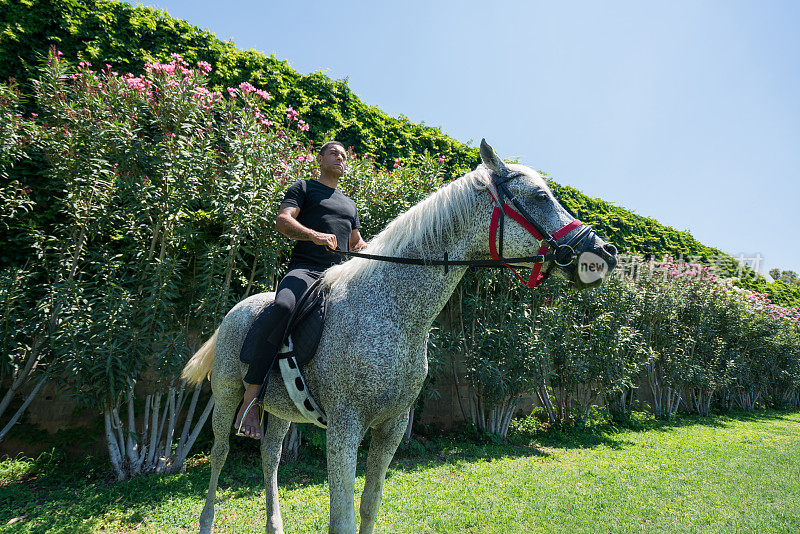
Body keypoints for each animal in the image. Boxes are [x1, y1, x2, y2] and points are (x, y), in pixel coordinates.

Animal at [181, 140, 620, 532]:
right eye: (540, 196)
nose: (605, 252)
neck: (390, 309)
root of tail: (235, 312)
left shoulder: (390, 427)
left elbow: (369, 507)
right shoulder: (344, 428)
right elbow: (342, 520)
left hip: (280, 411)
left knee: (269, 456)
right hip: (227, 398)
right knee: (219, 455)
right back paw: (206, 521)